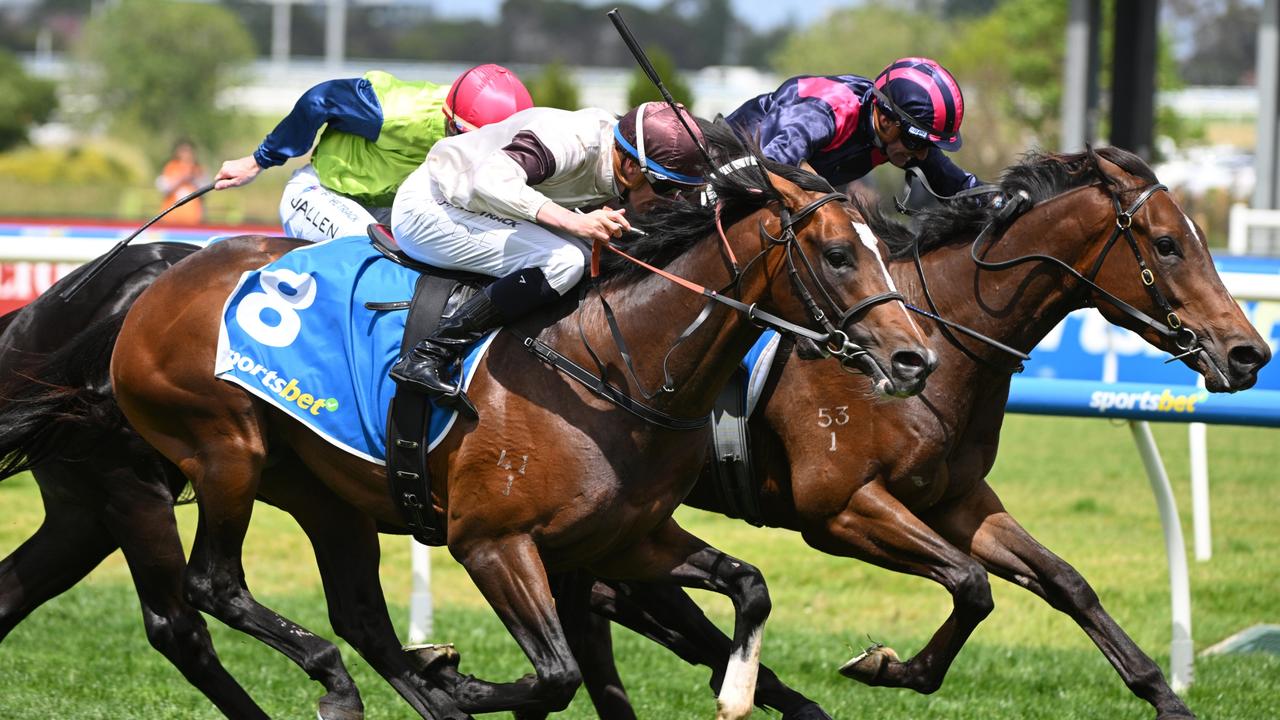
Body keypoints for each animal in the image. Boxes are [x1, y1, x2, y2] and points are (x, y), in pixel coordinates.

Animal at [104, 122, 936, 717]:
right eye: (838, 254)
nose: (914, 359)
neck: (614, 367)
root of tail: (161, 276)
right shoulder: (492, 543)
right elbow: (556, 675)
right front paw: (459, 681)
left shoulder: (627, 538)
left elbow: (749, 581)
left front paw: (736, 690)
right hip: (226, 449)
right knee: (213, 584)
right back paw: (356, 681)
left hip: (318, 488)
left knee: (358, 614)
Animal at [570, 146, 1269, 717]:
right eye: (1168, 244)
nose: (1250, 354)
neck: (941, 339)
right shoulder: (841, 510)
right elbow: (972, 585)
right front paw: (887, 666)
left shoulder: (957, 499)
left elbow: (1066, 583)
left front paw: (1166, 698)